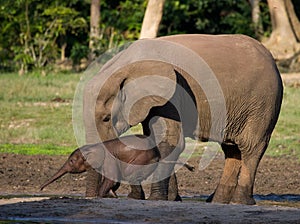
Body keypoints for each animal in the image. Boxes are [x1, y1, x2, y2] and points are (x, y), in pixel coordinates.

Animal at [79, 33, 282, 205]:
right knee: (231, 149)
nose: (103, 194)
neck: (124, 67)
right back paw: (217, 201)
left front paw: (157, 199)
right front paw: (171, 199)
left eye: (106, 118)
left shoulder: (172, 92)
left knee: (250, 147)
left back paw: (240, 202)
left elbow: (171, 140)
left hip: (262, 104)